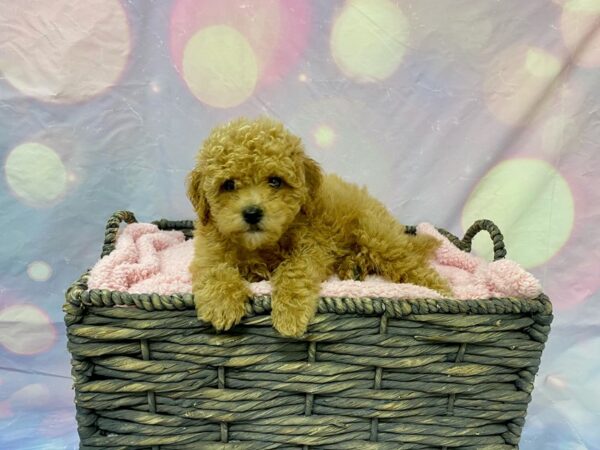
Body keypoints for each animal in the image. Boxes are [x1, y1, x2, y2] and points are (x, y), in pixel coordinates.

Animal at [188, 118, 450, 336]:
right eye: (228, 185)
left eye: (275, 181)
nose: (252, 213)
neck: (261, 245)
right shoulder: (208, 252)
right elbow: (214, 271)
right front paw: (221, 305)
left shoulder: (311, 247)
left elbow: (293, 270)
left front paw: (289, 315)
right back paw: (353, 267)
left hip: (378, 236)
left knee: (411, 265)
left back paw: (445, 294)